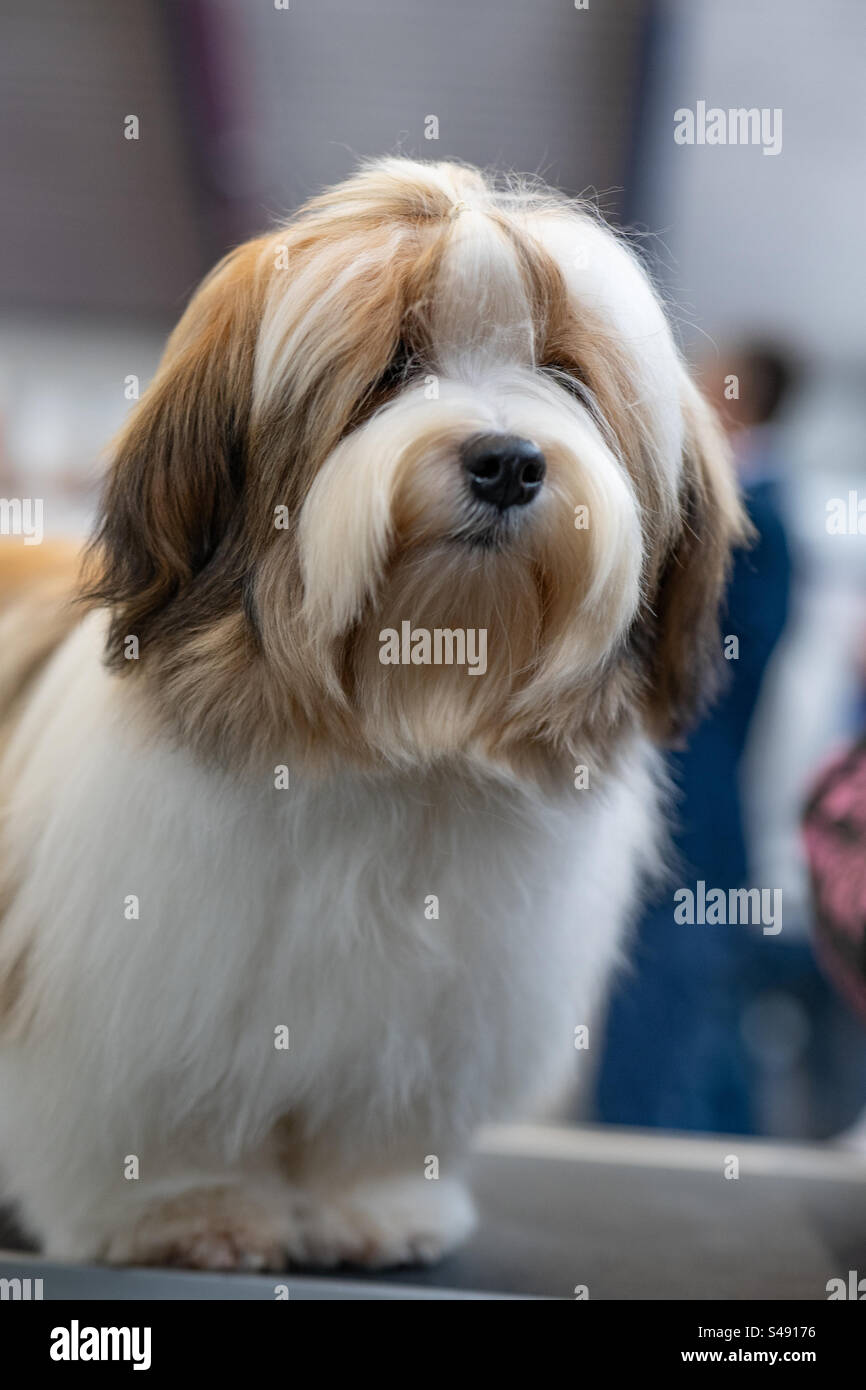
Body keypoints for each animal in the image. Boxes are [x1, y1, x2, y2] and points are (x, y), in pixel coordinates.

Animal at [0, 157, 750, 1267]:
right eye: (394, 365)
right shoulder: (131, 1005)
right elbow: (159, 1124)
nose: (507, 461)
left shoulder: (427, 1022)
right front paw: (187, 1214)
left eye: (566, 374)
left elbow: (373, 1130)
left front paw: (377, 1211)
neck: (399, 735)